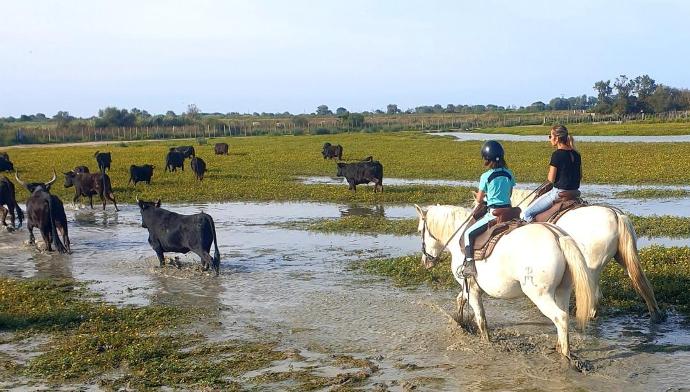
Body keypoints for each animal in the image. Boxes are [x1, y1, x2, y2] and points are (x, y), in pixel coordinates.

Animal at [412, 205, 592, 358]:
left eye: (420, 230)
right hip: (563, 290)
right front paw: (460, 322)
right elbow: (460, 300)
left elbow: (481, 319)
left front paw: (485, 341)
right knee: (564, 316)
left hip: (540, 295)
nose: (425, 262)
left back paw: (565, 356)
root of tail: (557, 236)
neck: (459, 239)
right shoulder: (468, 286)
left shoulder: (472, 289)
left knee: (560, 317)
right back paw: (559, 347)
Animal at [510, 188, 660, 324]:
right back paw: (655, 315)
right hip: (624, 258)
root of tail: (616, 215)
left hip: (593, 266)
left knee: (594, 295)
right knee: (642, 283)